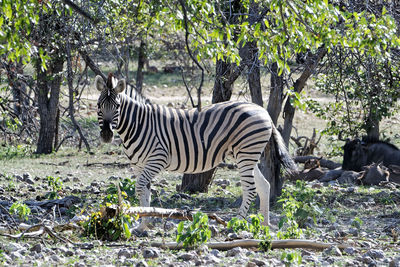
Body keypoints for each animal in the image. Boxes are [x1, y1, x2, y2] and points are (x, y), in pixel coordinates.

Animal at [95, 73, 296, 228]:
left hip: (246, 154)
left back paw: (235, 223)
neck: (139, 124)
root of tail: (262, 110)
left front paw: (145, 222)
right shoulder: (138, 165)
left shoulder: (157, 159)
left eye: (117, 107)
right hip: (247, 155)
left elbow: (140, 188)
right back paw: (264, 225)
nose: (106, 135)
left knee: (250, 189)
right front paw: (144, 224)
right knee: (264, 186)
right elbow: (144, 192)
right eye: (98, 106)